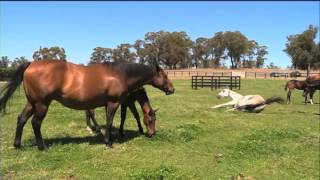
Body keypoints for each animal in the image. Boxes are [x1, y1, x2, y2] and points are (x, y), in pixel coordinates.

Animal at [0, 59, 174, 150]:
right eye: (165, 76)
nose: (172, 89)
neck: (120, 74)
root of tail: (30, 64)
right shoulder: (114, 103)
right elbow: (110, 122)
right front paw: (108, 142)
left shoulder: (110, 103)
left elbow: (110, 122)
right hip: (42, 104)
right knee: (35, 123)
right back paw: (42, 147)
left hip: (32, 103)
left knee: (21, 119)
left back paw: (17, 145)